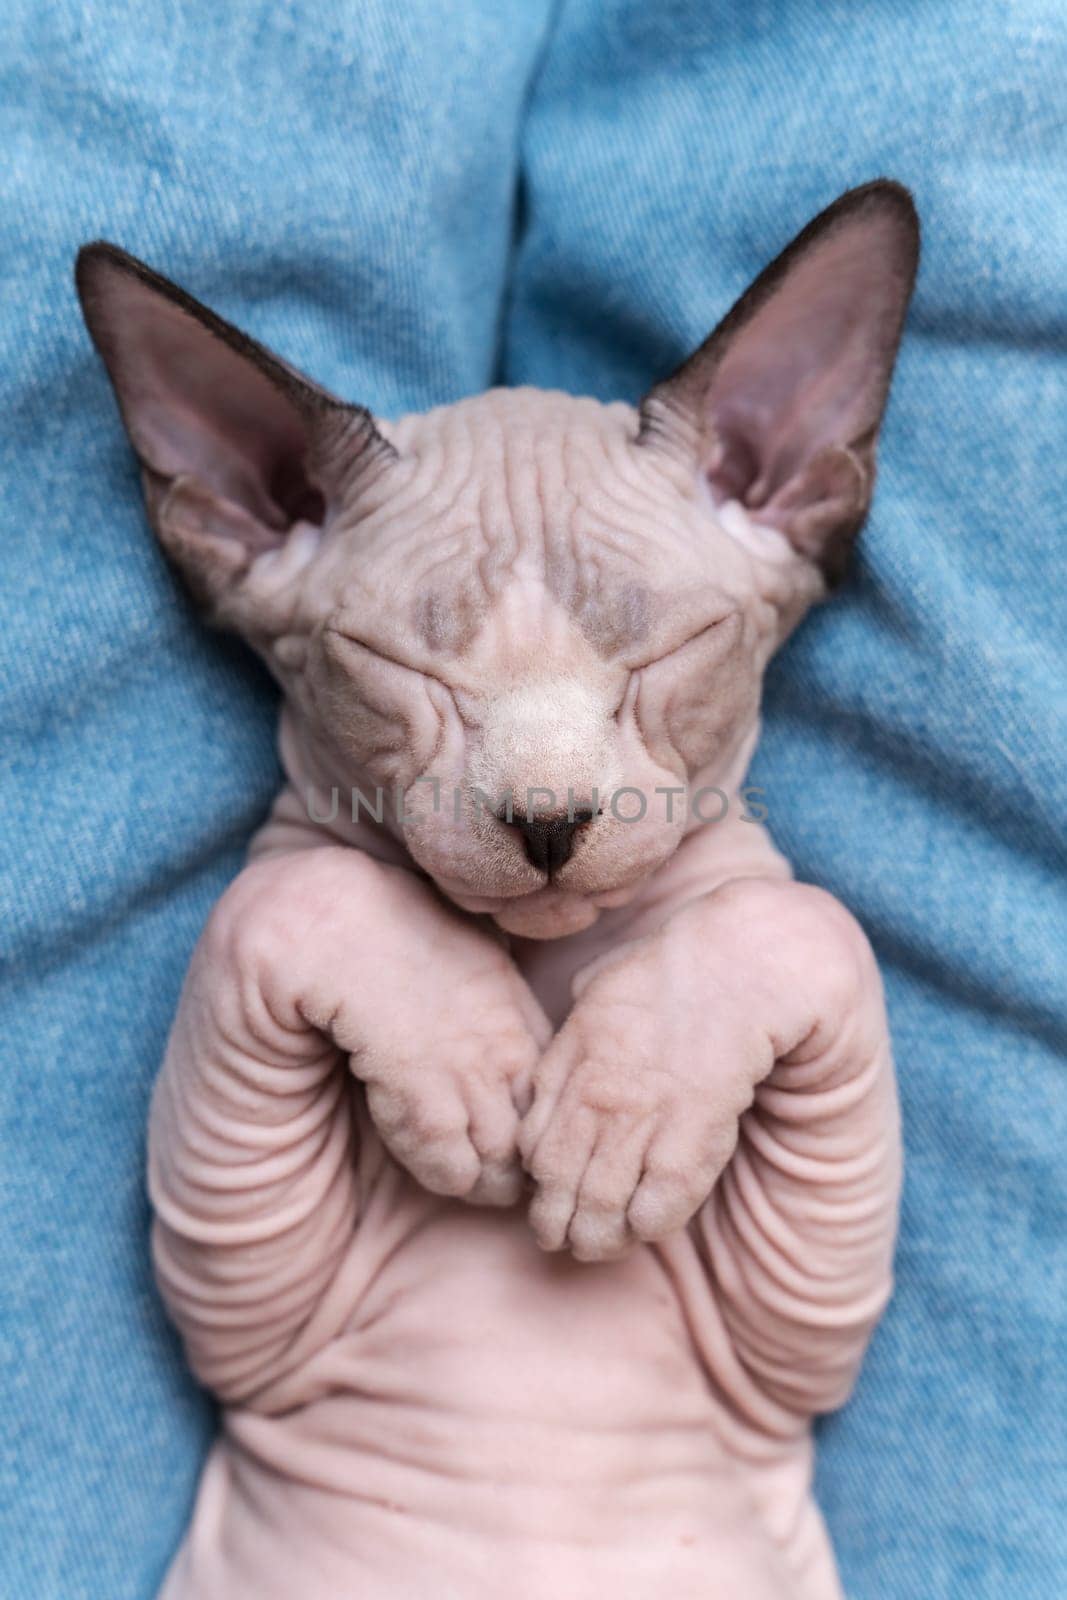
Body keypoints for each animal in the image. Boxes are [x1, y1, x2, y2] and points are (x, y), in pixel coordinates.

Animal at [79, 181, 921, 1600]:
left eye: (668, 654)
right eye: (394, 671)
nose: (547, 821)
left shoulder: (795, 1345)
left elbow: (791, 912)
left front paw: (611, 1128)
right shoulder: (245, 1317)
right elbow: (294, 891)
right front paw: (473, 1079)